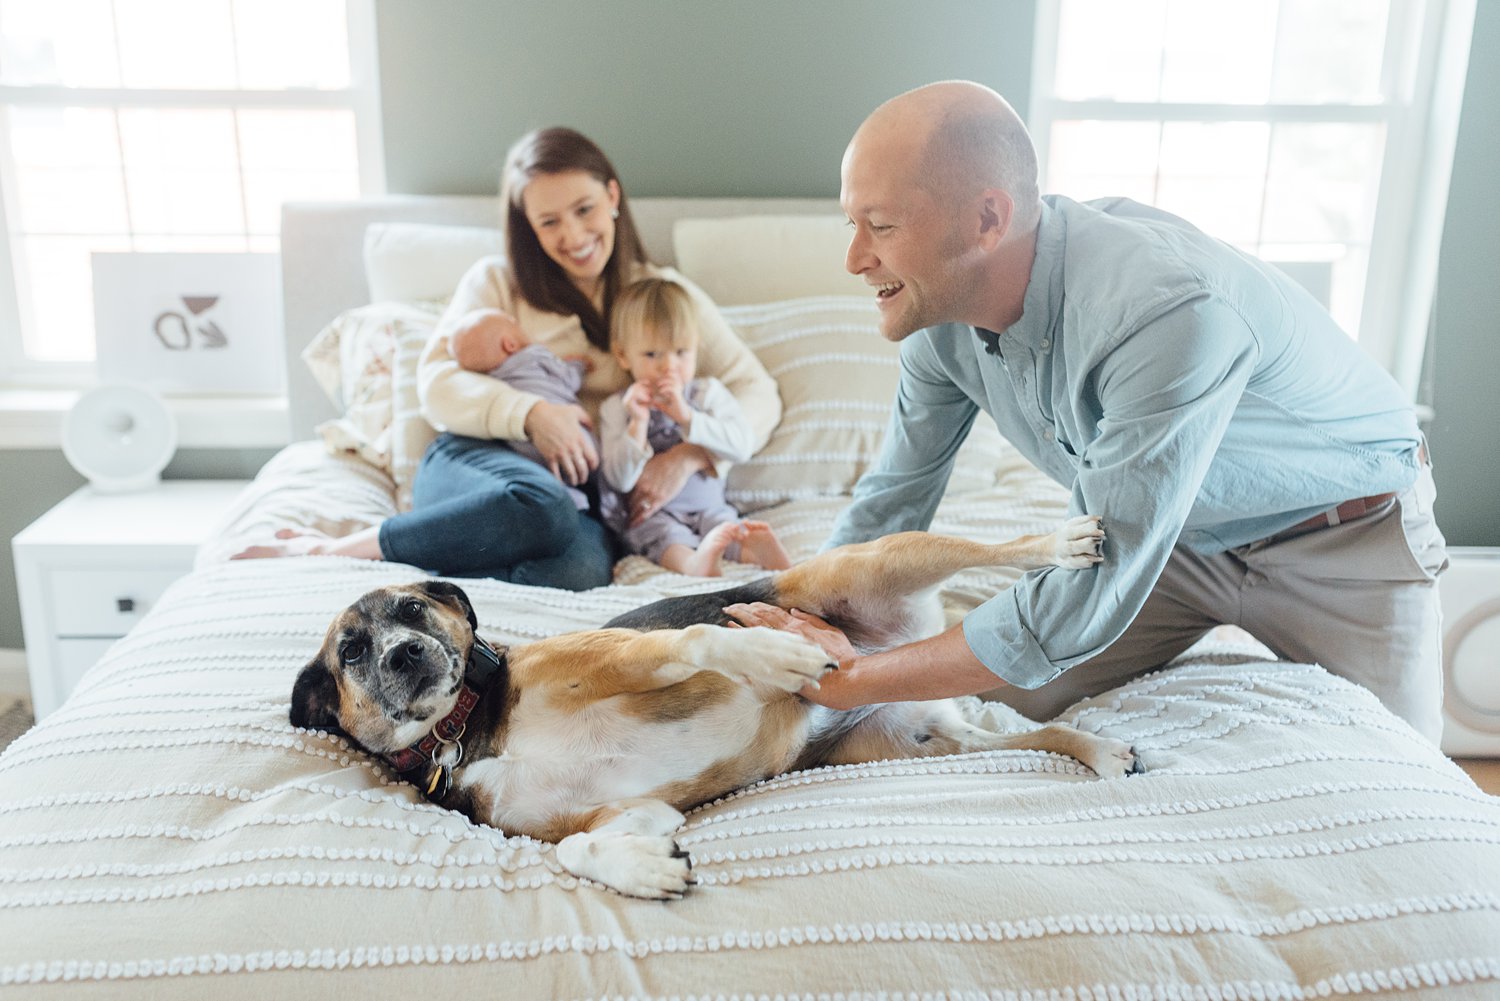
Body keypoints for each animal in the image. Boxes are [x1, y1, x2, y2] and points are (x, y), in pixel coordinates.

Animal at [289, 522, 1134, 894]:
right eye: (352, 650)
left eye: (414, 608)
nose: (404, 654)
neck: (468, 722)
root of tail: (896, 639)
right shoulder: (626, 809)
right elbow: (577, 849)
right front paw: (645, 870)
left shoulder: (619, 658)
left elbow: (703, 639)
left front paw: (777, 657)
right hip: (916, 736)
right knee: (1033, 733)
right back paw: (1100, 751)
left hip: (877, 559)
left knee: (991, 551)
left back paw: (1058, 542)